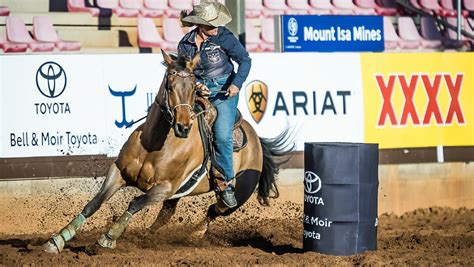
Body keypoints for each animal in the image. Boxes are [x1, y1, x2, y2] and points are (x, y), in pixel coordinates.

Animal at [42, 49, 292, 253]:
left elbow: (135, 203)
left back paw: (194, 235)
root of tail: (257, 142)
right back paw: (148, 237)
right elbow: (95, 202)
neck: (153, 145)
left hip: (238, 194)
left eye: (192, 88)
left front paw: (108, 238)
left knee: (215, 209)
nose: (183, 126)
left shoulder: (164, 188)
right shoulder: (118, 172)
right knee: (167, 216)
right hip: (178, 194)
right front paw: (58, 239)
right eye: (170, 85)